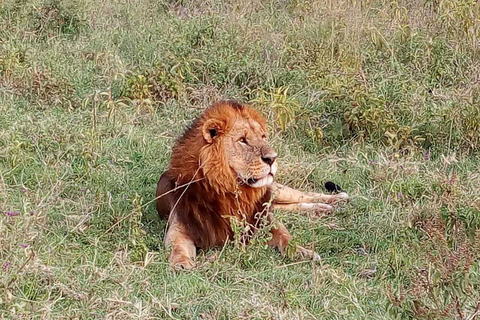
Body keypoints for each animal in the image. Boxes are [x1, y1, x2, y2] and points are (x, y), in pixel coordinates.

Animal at [158, 100, 348, 270]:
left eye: (263, 137)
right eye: (243, 140)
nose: (272, 158)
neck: (233, 190)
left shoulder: (263, 219)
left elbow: (285, 236)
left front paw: (303, 252)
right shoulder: (182, 225)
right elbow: (177, 246)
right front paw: (181, 263)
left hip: (277, 190)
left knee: (305, 195)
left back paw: (336, 200)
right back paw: (325, 209)